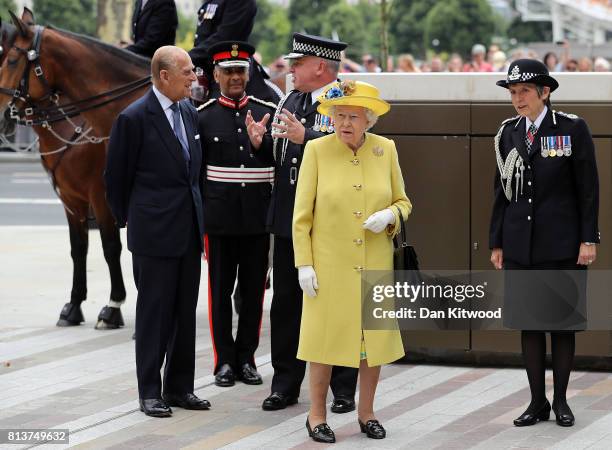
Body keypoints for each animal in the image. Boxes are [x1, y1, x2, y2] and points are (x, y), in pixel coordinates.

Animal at [0, 8, 152, 326]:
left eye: (11, 60)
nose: (1, 115)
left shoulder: (102, 197)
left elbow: (111, 247)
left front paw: (113, 306)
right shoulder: (71, 200)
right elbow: (78, 247)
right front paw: (74, 305)